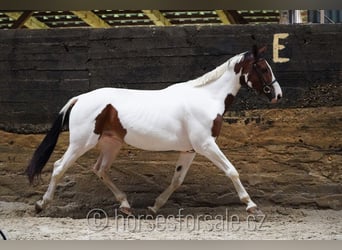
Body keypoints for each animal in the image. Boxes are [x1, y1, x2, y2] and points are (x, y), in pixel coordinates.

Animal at [25, 45, 284, 215]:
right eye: (263, 68)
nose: (278, 95)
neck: (207, 98)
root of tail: (80, 98)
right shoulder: (206, 145)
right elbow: (232, 171)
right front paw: (251, 205)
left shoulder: (190, 150)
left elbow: (177, 180)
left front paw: (155, 206)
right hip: (81, 143)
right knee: (59, 167)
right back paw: (41, 204)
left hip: (111, 143)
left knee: (100, 169)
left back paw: (126, 206)